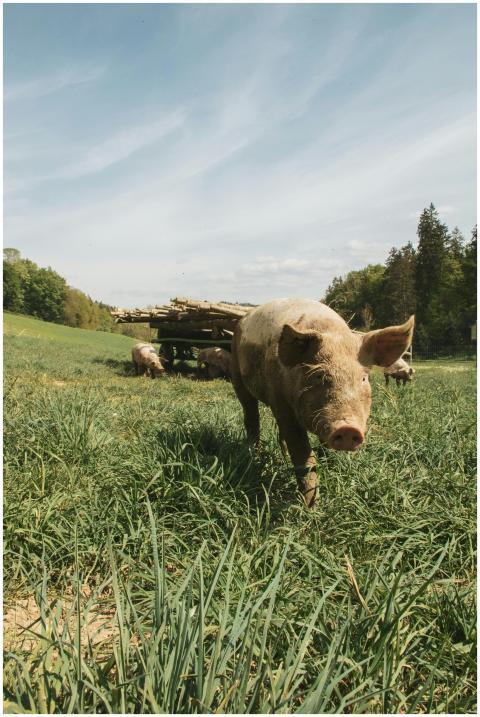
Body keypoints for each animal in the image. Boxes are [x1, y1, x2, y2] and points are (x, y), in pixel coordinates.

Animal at [231, 299, 414, 507]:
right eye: (319, 376)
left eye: (363, 378)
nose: (348, 429)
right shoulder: (280, 401)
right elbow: (302, 453)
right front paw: (310, 506)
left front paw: (332, 466)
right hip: (236, 373)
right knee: (251, 415)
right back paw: (254, 453)